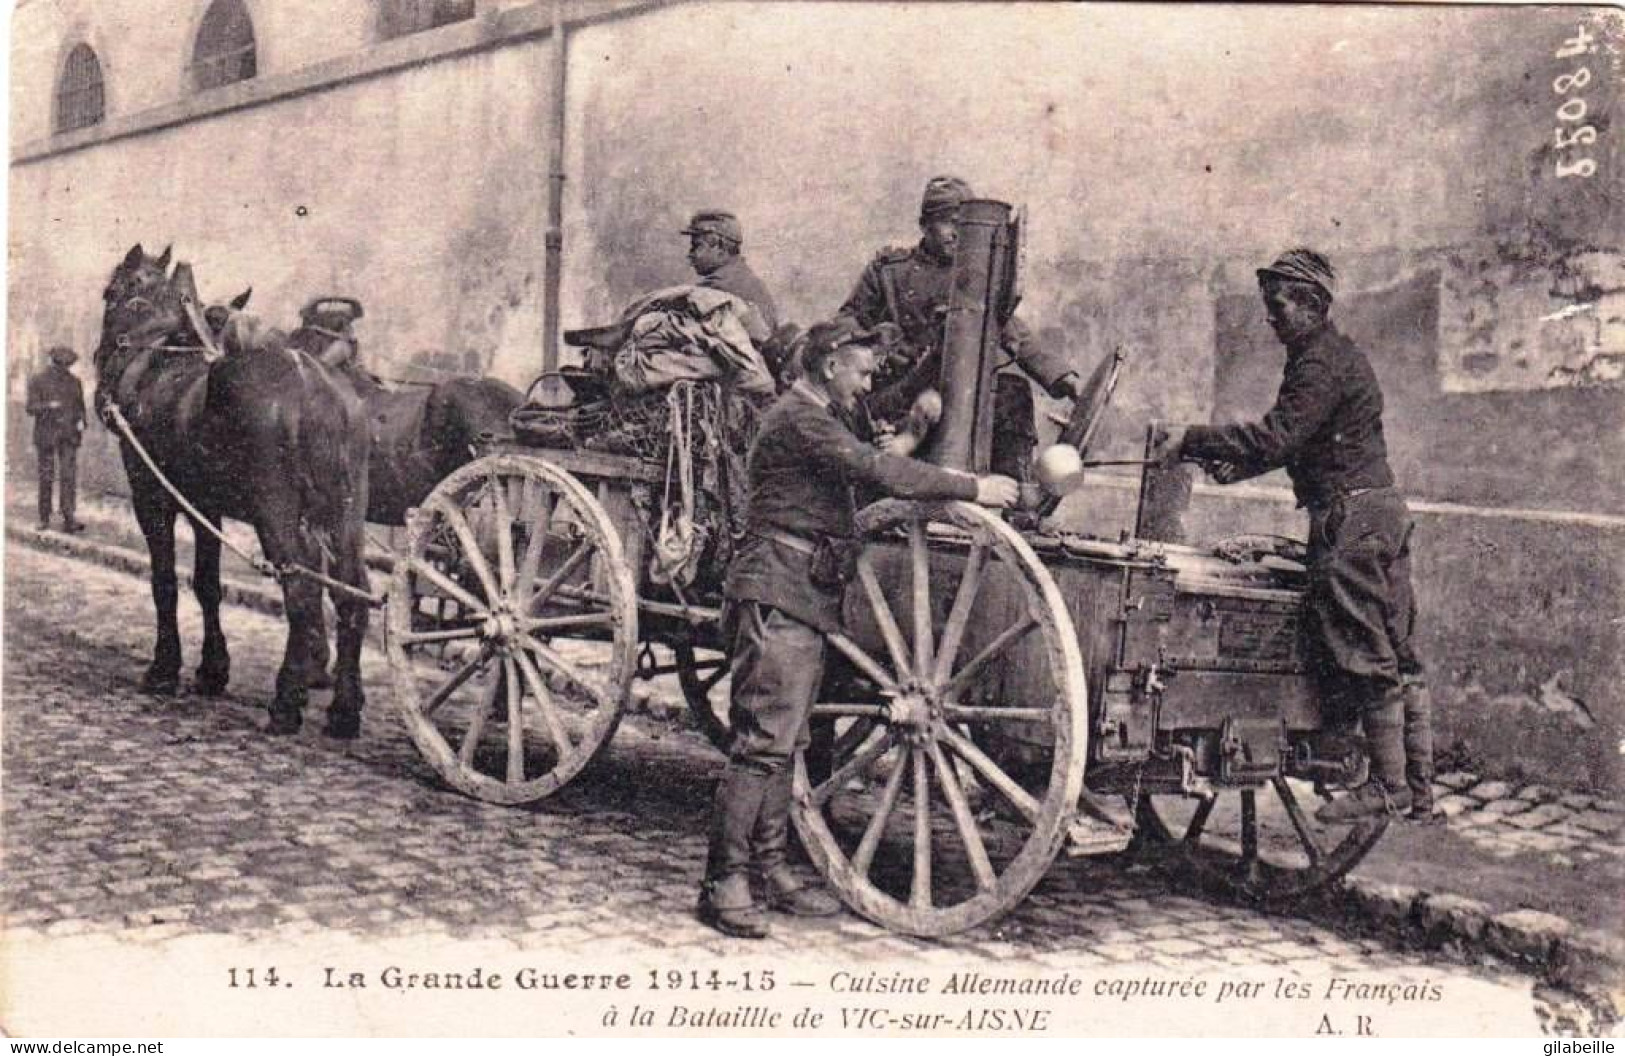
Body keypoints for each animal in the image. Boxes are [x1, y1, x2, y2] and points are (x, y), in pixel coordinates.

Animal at [95, 242, 373, 737]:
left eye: (111, 293)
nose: (99, 363)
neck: (158, 359)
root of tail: (317, 388)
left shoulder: (152, 495)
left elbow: (165, 579)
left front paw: (164, 668)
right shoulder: (205, 506)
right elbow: (207, 583)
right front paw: (212, 669)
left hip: (275, 514)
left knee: (301, 589)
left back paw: (286, 702)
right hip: (346, 517)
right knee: (350, 593)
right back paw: (343, 710)